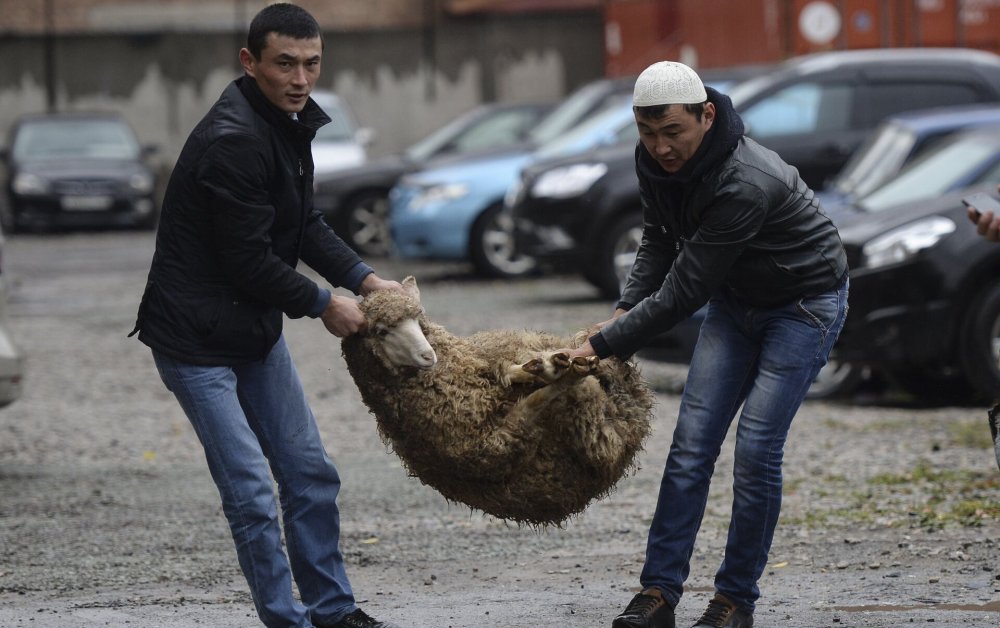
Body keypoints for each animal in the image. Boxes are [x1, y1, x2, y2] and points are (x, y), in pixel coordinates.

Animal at [342, 276, 656, 524]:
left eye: (418, 320)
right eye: (381, 331)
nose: (428, 356)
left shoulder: (489, 365)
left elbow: (512, 371)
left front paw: (546, 366)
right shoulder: (498, 443)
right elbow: (537, 399)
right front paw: (557, 371)